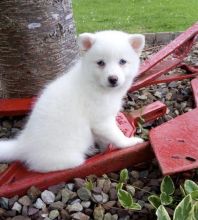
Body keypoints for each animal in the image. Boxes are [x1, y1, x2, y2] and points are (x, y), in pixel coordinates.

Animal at [0, 30, 145, 172]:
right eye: (100, 63)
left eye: (122, 61)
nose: (113, 79)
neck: (96, 84)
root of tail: (23, 144)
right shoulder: (102, 122)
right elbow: (117, 135)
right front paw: (128, 142)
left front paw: (105, 149)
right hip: (68, 158)